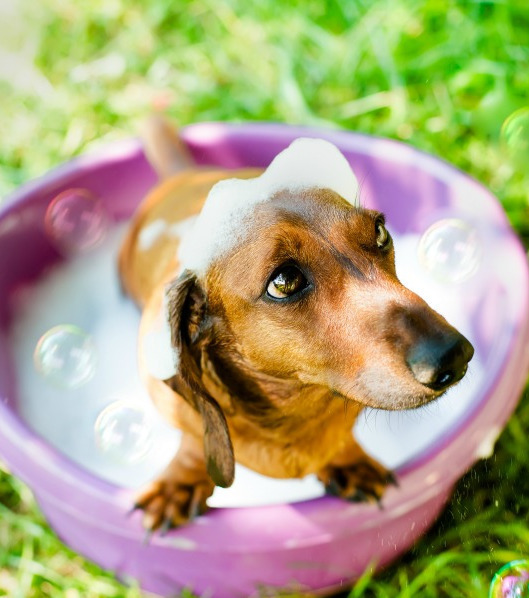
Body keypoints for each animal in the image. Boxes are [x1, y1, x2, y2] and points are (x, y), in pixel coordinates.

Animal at [117, 119, 472, 532]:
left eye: (380, 232)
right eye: (284, 281)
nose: (453, 356)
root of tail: (183, 175)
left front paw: (348, 459)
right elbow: (192, 442)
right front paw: (180, 483)